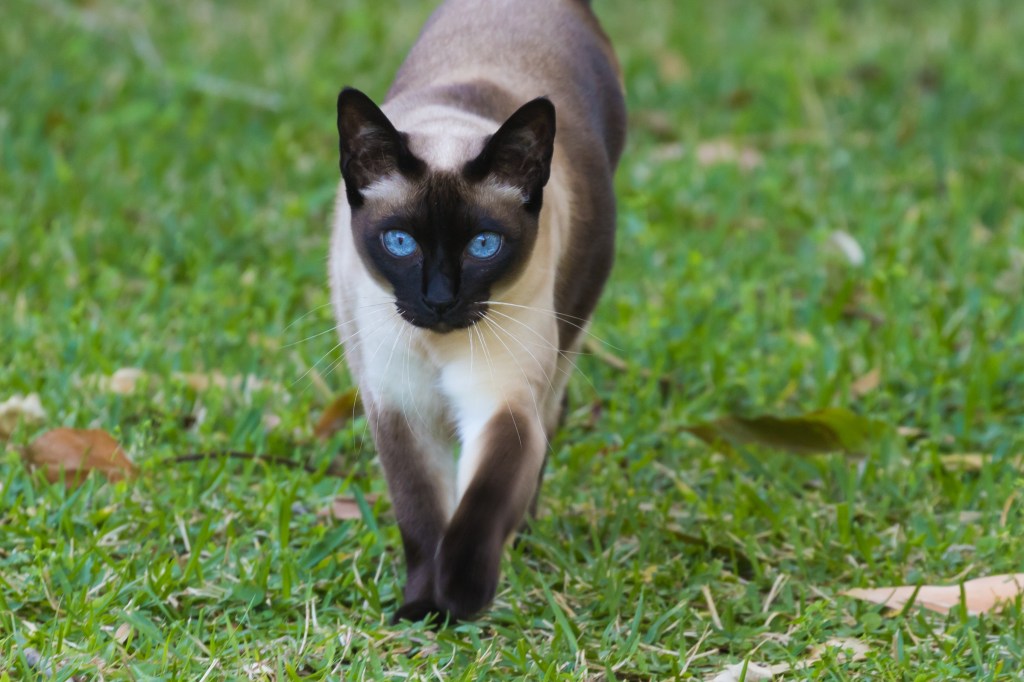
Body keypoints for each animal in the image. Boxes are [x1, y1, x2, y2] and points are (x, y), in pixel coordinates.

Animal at [331, 0, 626, 618]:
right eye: (400, 242)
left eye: (483, 246)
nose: (440, 300)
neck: (437, 344)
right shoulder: (398, 410)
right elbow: (421, 516)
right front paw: (423, 608)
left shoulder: (503, 405)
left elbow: (482, 501)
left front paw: (463, 594)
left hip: (567, 337)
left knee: (550, 422)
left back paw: (525, 541)